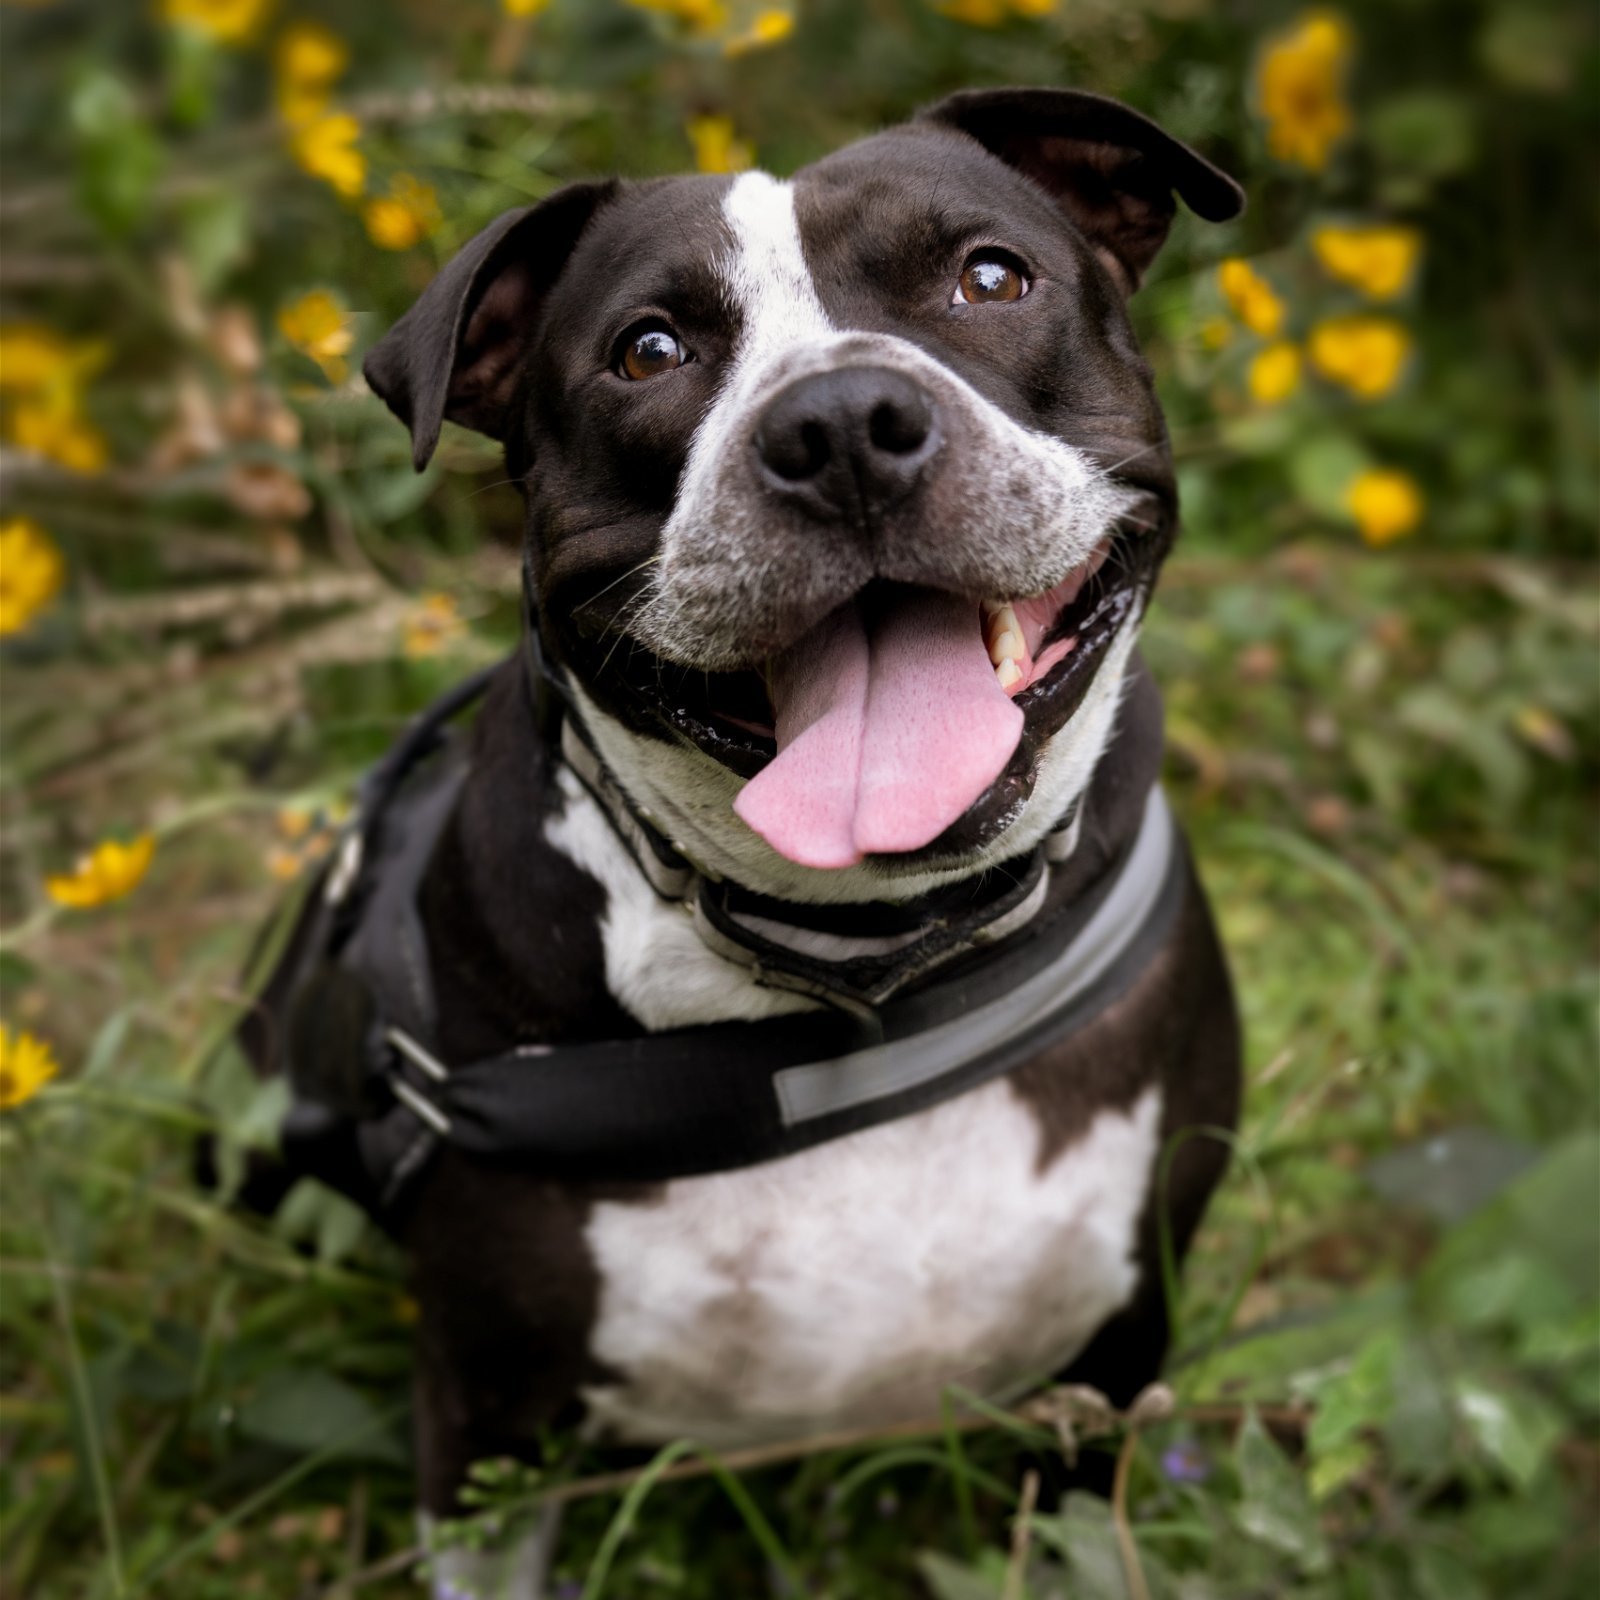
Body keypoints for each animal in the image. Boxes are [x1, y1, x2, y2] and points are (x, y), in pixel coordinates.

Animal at [256, 87, 1241, 1600]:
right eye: (648, 351)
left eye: (991, 277)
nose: (840, 423)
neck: (864, 966)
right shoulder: (487, 1417)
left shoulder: (1118, 1356)